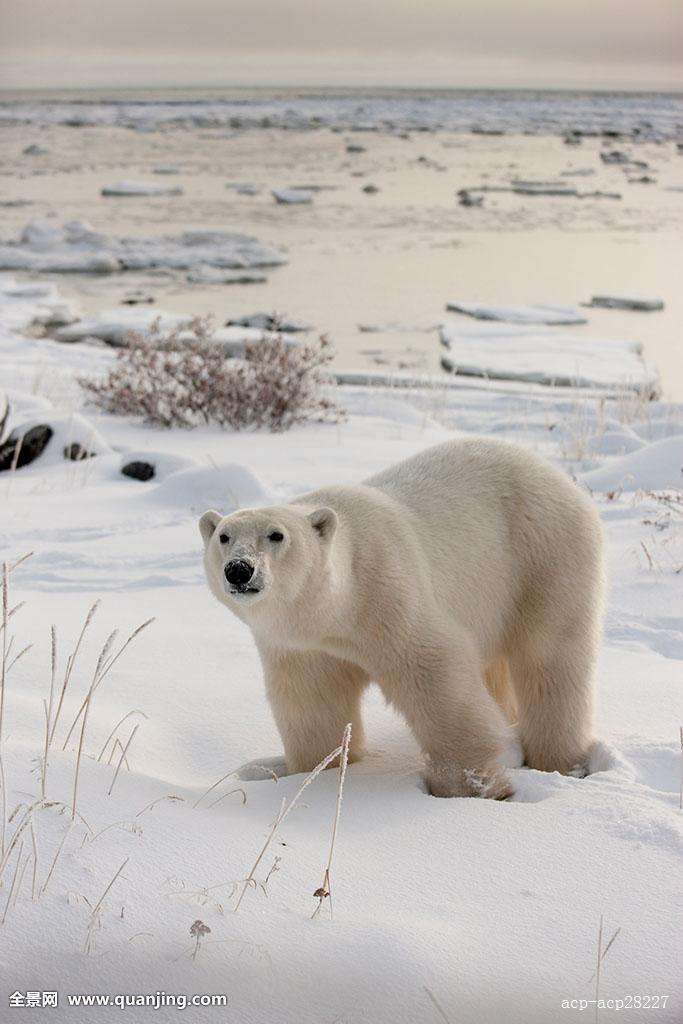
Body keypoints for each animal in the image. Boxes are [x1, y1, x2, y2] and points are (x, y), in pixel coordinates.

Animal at [198, 436, 602, 794]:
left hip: (543, 555)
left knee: (550, 658)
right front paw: (315, 770)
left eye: (276, 535)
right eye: (224, 536)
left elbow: (437, 674)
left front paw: (468, 783)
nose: (239, 569)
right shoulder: (303, 646)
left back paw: (559, 759)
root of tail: (557, 475)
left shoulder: (387, 594)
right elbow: (312, 701)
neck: (336, 611)